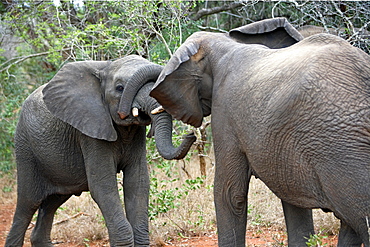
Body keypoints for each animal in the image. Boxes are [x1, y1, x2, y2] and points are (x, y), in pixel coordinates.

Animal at [5, 55, 197, 247]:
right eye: (120, 88)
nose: (191, 134)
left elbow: (138, 182)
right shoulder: (89, 129)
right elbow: (103, 186)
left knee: (52, 201)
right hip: (25, 148)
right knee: (27, 204)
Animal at [147, 18, 370, 246]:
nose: (190, 136)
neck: (224, 43)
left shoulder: (225, 111)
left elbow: (229, 194)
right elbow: (292, 198)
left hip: (342, 148)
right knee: (350, 224)